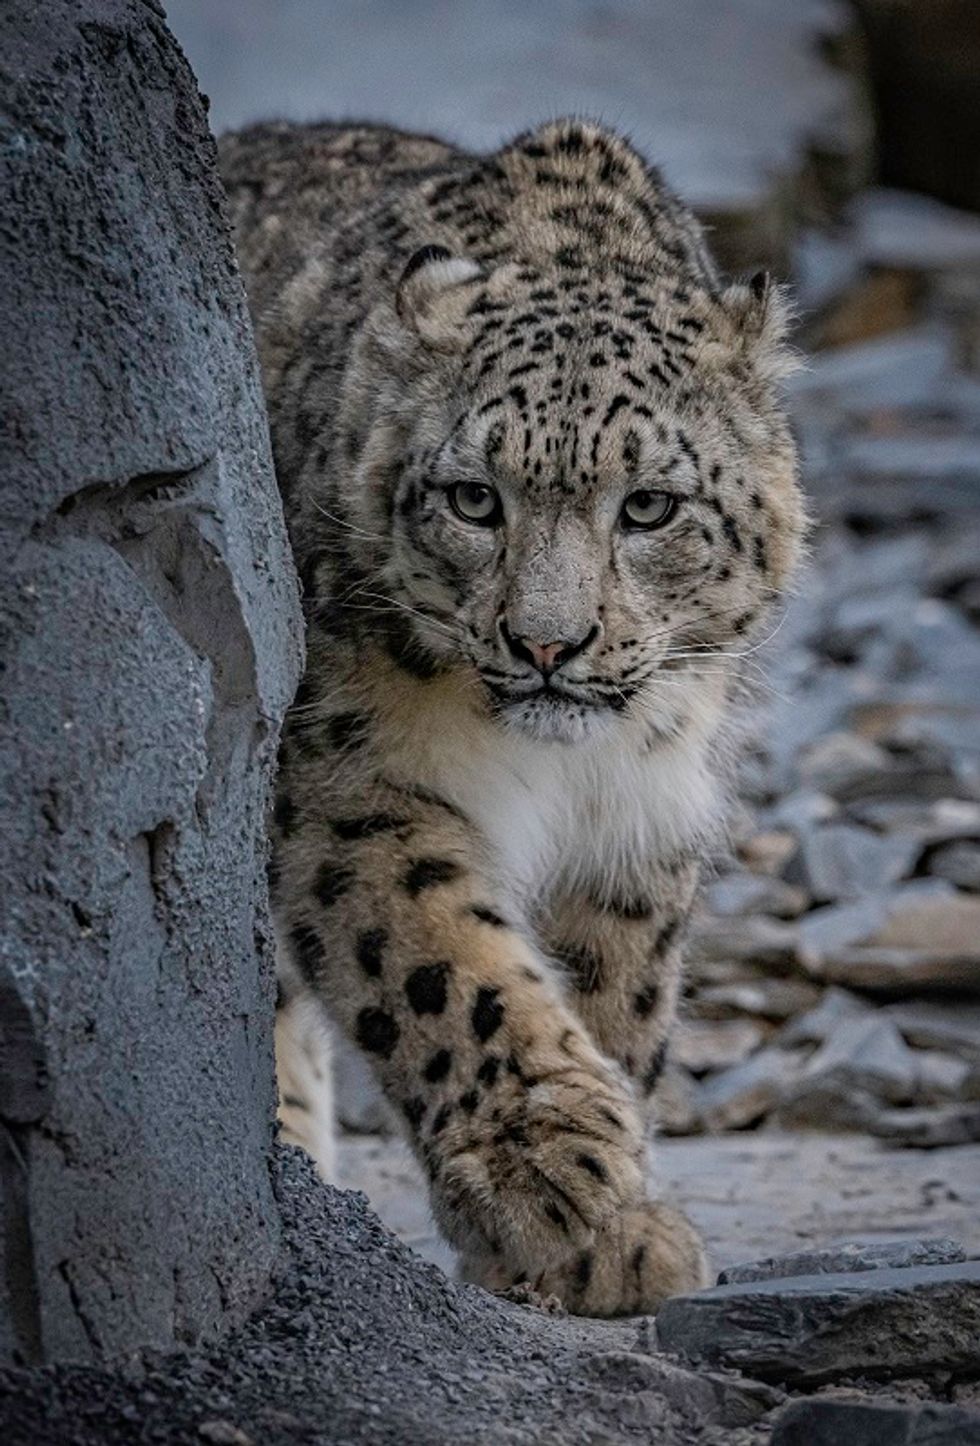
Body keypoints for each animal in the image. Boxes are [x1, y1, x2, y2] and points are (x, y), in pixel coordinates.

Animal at [218, 116, 805, 1317]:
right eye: (473, 498)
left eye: (649, 506)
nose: (547, 644)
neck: (561, 770)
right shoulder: (348, 781)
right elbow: (442, 963)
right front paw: (549, 1175)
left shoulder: (640, 811)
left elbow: (612, 993)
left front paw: (605, 1237)